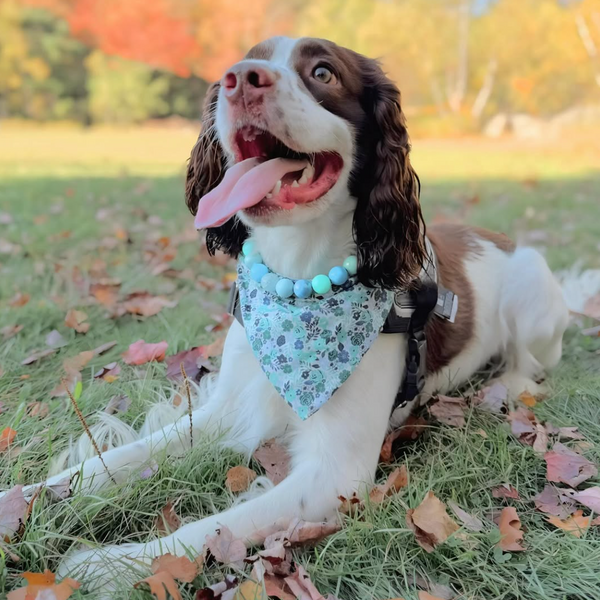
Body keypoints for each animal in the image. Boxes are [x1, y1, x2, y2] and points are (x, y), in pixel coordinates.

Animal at [2, 36, 569, 593]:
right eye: (246, 58)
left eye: (322, 72)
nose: (239, 79)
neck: (296, 286)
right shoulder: (230, 407)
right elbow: (119, 458)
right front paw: (25, 498)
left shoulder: (336, 475)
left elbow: (212, 526)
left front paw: (110, 564)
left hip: (533, 289)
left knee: (533, 365)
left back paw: (507, 386)